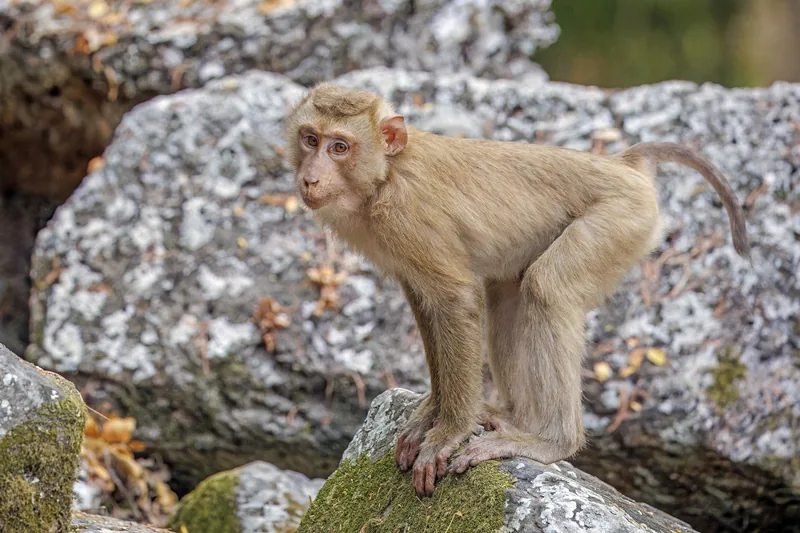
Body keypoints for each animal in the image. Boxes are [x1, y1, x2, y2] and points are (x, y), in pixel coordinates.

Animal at [285, 83, 750, 498]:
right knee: (506, 295)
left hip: (620, 218)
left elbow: (455, 299)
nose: (310, 178)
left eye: (339, 147)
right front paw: (433, 411)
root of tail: (623, 164)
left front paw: (448, 430)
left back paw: (552, 441)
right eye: (311, 140)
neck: (385, 176)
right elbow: (425, 302)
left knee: (548, 289)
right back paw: (515, 418)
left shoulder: (406, 218)